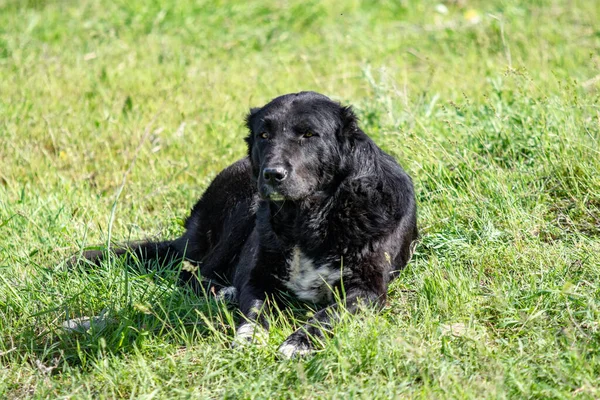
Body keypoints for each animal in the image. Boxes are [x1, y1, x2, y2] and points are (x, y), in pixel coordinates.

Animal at [78, 92, 418, 358]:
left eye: (309, 135)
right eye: (263, 135)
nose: (272, 174)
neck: (307, 218)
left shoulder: (368, 289)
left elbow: (329, 314)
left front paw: (300, 342)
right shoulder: (257, 277)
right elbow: (255, 310)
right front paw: (250, 337)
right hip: (242, 209)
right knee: (192, 276)